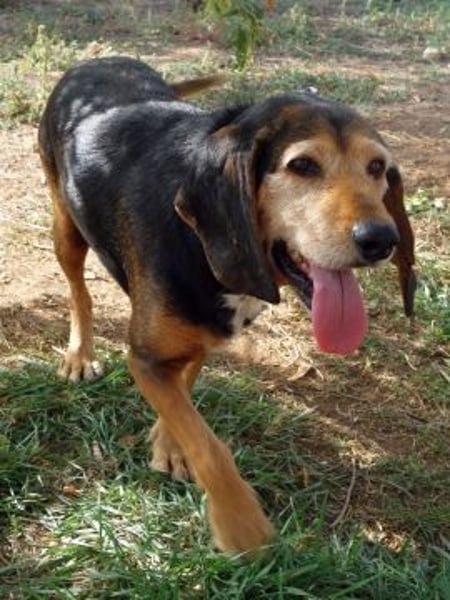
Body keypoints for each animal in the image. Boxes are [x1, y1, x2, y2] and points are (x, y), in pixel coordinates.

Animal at [38, 56, 416, 555]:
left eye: (377, 167)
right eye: (303, 165)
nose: (381, 239)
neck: (199, 239)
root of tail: (99, 60)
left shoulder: (206, 334)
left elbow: (187, 388)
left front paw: (168, 443)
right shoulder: (144, 356)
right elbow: (208, 444)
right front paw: (241, 524)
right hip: (66, 227)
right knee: (78, 289)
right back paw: (80, 354)